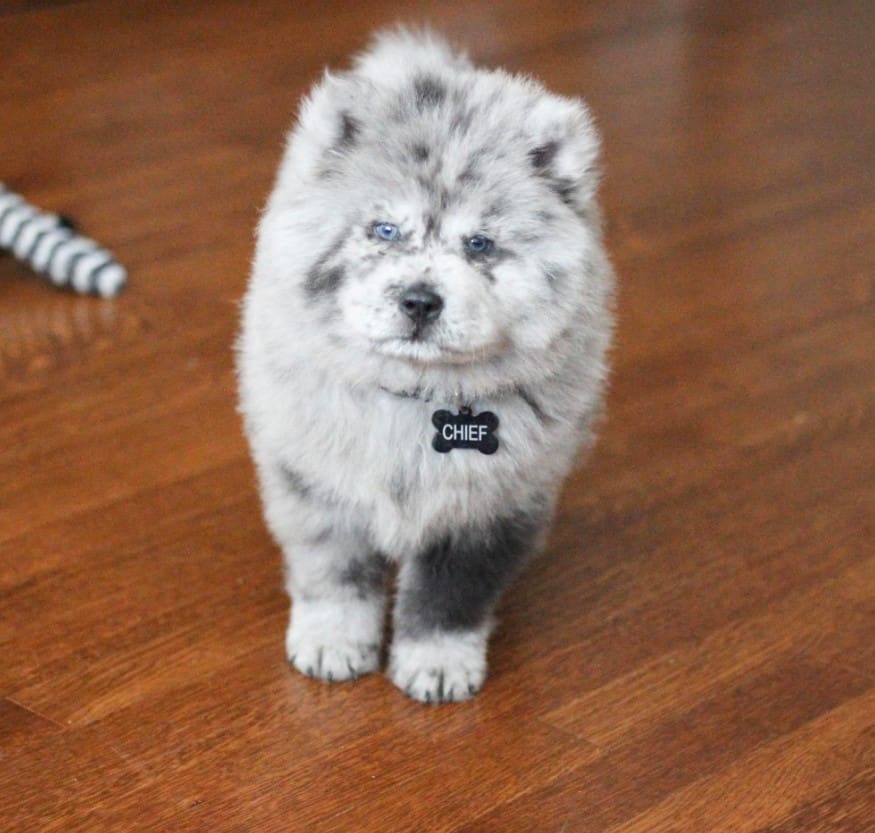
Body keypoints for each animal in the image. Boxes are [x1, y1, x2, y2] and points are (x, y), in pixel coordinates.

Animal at [236, 27, 612, 704]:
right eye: (384, 230)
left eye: (479, 245)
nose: (419, 300)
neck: (415, 395)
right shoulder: (318, 482)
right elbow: (335, 575)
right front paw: (333, 643)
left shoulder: (487, 509)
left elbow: (449, 598)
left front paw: (436, 663)